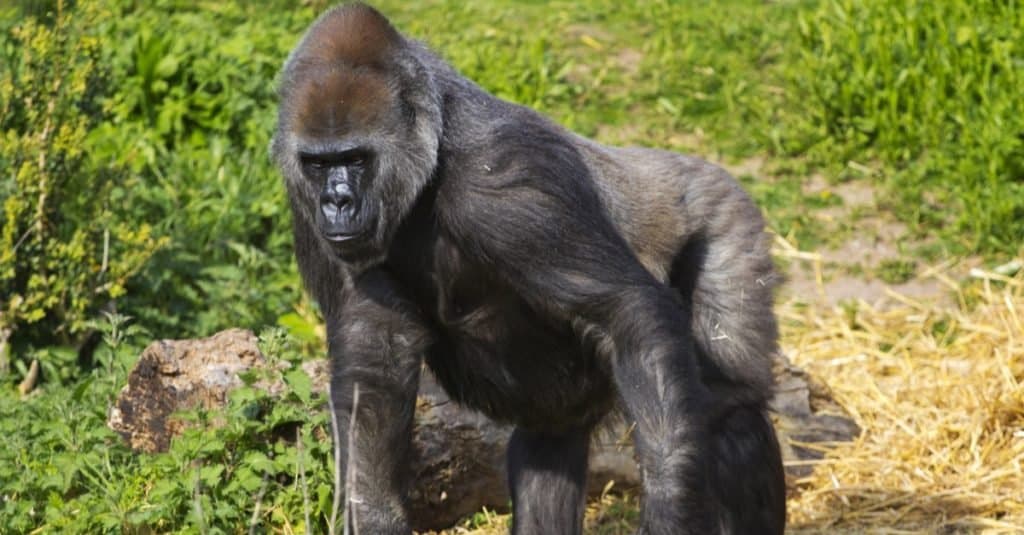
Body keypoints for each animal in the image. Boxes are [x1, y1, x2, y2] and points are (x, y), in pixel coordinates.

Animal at [270, 5, 782, 532]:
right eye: (317, 164)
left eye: (356, 159)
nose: (337, 203)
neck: (430, 151)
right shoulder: (304, 205)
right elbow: (374, 366)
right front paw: (373, 516)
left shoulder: (509, 178)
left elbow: (625, 312)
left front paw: (671, 507)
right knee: (549, 446)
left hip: (724, 215)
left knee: (730, 408)